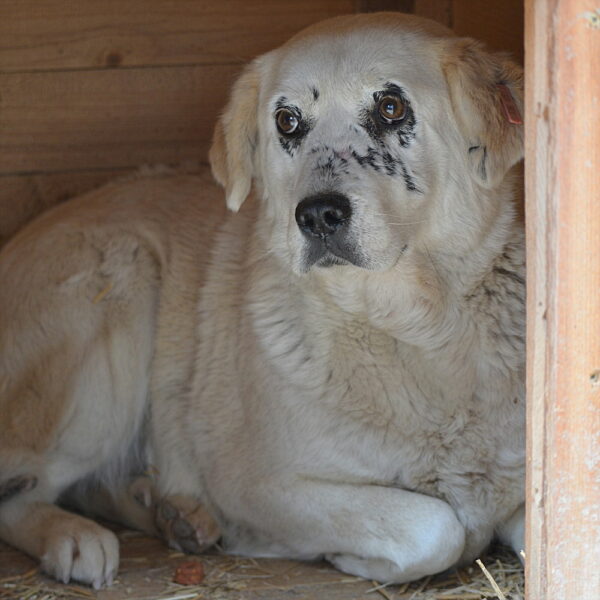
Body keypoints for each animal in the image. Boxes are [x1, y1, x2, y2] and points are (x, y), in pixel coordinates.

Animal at [0, 11, 524, 588]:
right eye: (288, 122)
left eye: (391, 107)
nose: (317, 215)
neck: (416, 329)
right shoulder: (257, 484)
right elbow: (436, 526)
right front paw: (357, 557)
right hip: (121, 289)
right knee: (21, 486)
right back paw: (75, 539)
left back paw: (171, 515)